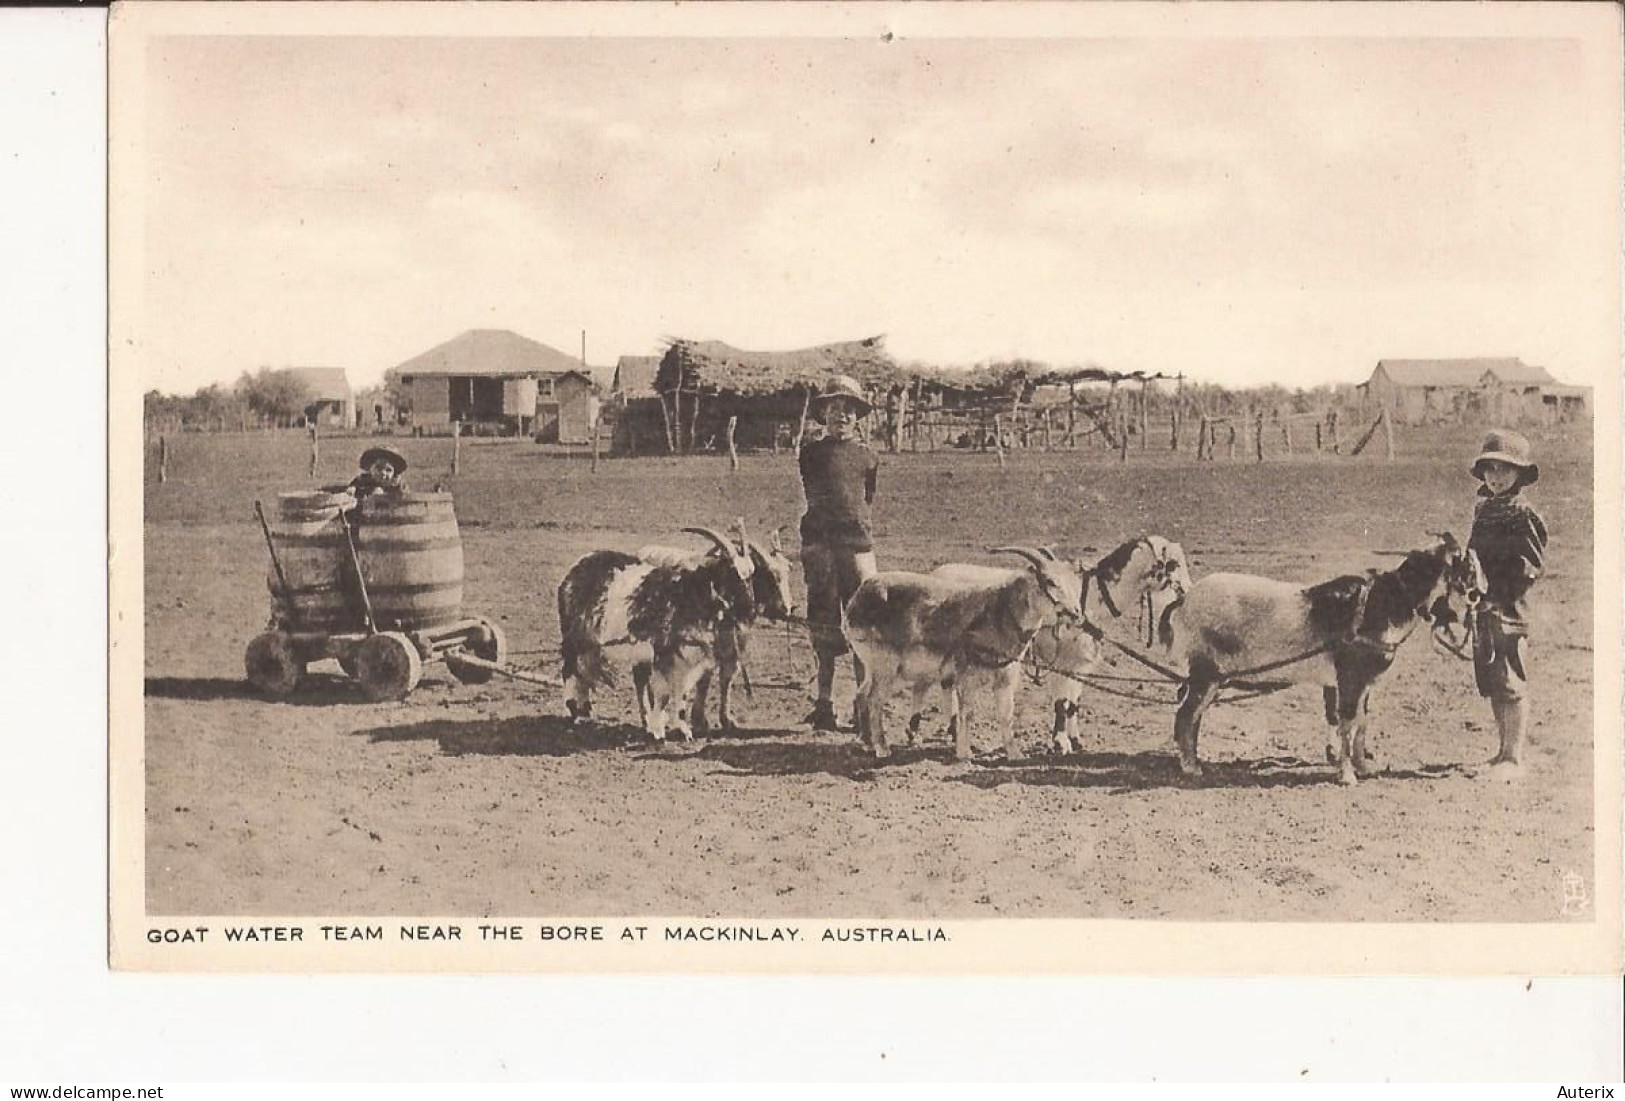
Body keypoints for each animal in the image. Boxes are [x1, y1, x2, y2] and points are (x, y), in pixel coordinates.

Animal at [555, 526, 757, 740]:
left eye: (751, 576)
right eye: (732, 573)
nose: (749, 609)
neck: (686, 594)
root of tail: (575, 570)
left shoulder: (685, 658)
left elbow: (681, 693)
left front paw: (684, 730)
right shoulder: (663, 654)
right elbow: (663, 694)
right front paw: (659, 732)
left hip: (592, 645)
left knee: (584, 670)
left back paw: (585, 710)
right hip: (573, 637)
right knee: (569, 669)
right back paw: (574, 712)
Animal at [630, 529, 796, 737]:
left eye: (788, 571)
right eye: (771, 576)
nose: (788, 609)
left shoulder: (733, 645)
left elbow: (727, 677)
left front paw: (726, 720)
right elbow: (705, 678)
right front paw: (700, 721)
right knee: (640, 675)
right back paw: (646, 719)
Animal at [845, 548, 1085, 763]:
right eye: (1050, 581)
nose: (1076, 613)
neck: (998, 615)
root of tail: (856, 601)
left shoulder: (1005, 677)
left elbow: (1006, 715)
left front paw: (1015, 755)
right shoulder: (967, 676)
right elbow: (966, 713)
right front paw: (964, 753)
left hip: (871, 665)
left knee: (861, 694)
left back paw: (867, 744)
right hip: (884, 666)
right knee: (874, 699)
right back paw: (882, 749)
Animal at [929, 535, 1196, 759]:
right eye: (1174, 564)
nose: (1188, 590)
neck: (1092, 600)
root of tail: (937, 571)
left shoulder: (1080, 665)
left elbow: (1074, 703)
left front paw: (1075, 740)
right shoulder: (1063, 662)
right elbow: (1061, 703)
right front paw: (1060, 743)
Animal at [1157, 535, 1488, 785]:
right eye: (1467, 565)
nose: (1481, 595)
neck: (1381, 603)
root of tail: (1185, 599)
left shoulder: (1364, 681)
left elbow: (1362, 722)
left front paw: (1363, 766)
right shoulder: (1349, 678)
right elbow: (1347, 723)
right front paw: (1347, 775)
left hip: (1213, 678)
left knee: (1193, 716)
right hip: (1206, 673)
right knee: (1185, 716)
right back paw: (1191, 767)